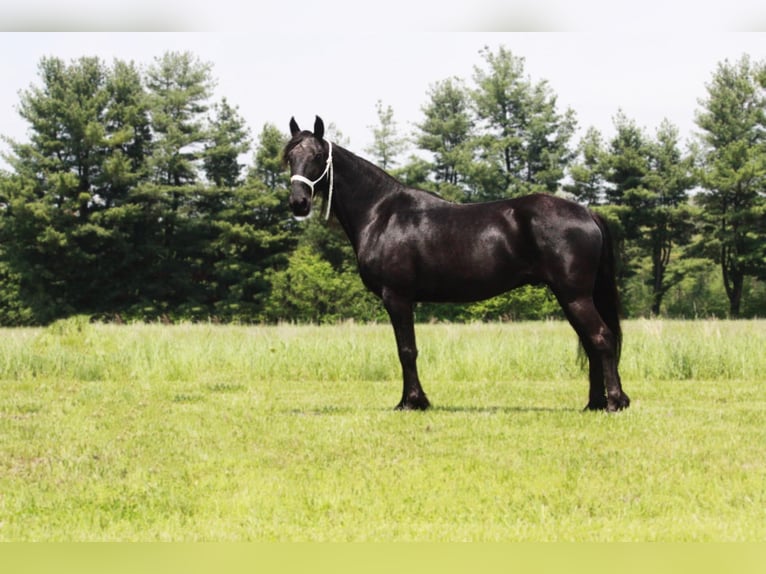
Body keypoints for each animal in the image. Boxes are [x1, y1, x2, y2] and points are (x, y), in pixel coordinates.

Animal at [284, 116, 632, 414]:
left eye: (318, 156)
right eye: (290, 156)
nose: (298, 203)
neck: (382, 213)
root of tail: (588, 213)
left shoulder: (397, 297)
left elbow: (406, 350)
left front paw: (411, 402)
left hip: (574, 296)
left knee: (602, 338)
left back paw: (614, 402)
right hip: (572, 297)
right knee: (591, 343)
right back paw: (595, 403)